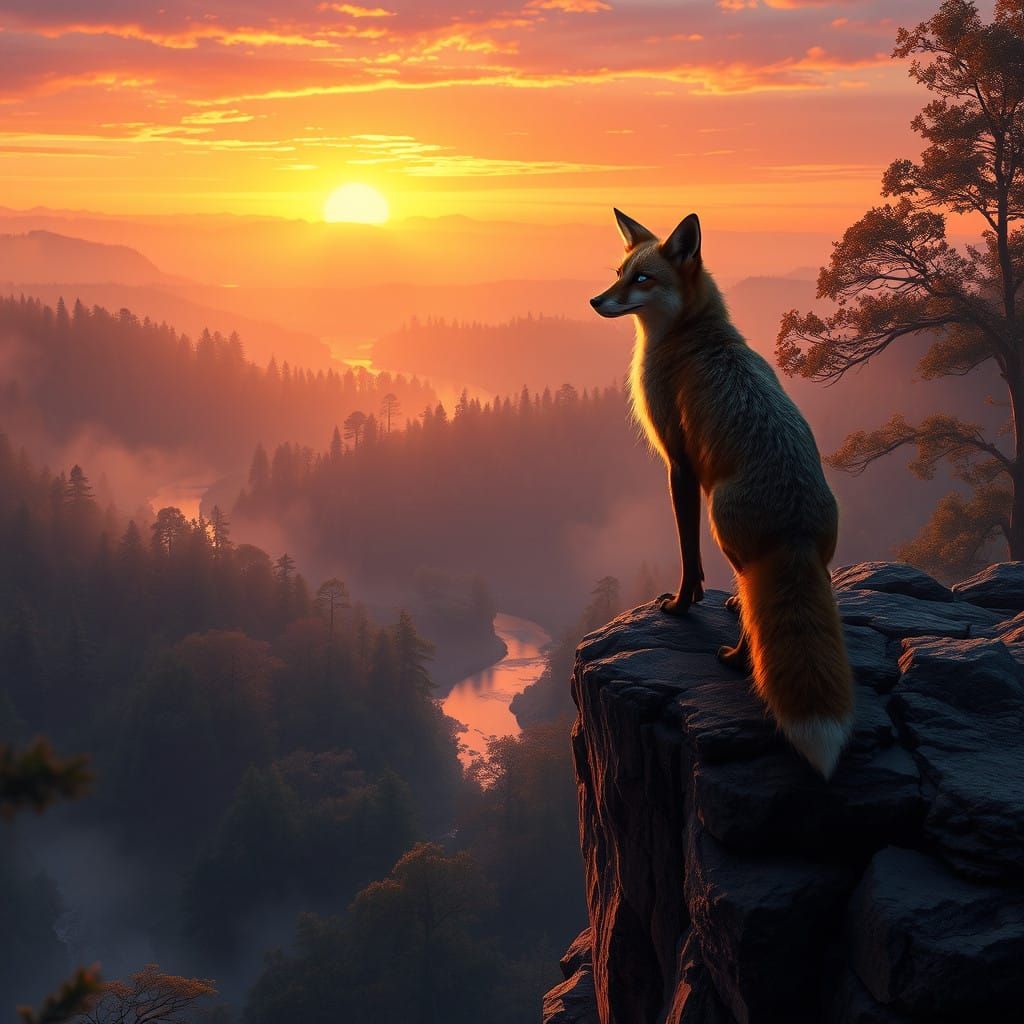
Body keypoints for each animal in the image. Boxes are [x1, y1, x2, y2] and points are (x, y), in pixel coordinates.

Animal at [590, 209, 854, 778]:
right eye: (620, 273)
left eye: (642, 279)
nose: (596, 301)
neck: (693, 336)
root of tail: (796, 526)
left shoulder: (680, 465)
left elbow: (688, 556)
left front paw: (681, 604)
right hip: (802, 558)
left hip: (724, 528)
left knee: (754, 616)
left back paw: (736, 658)